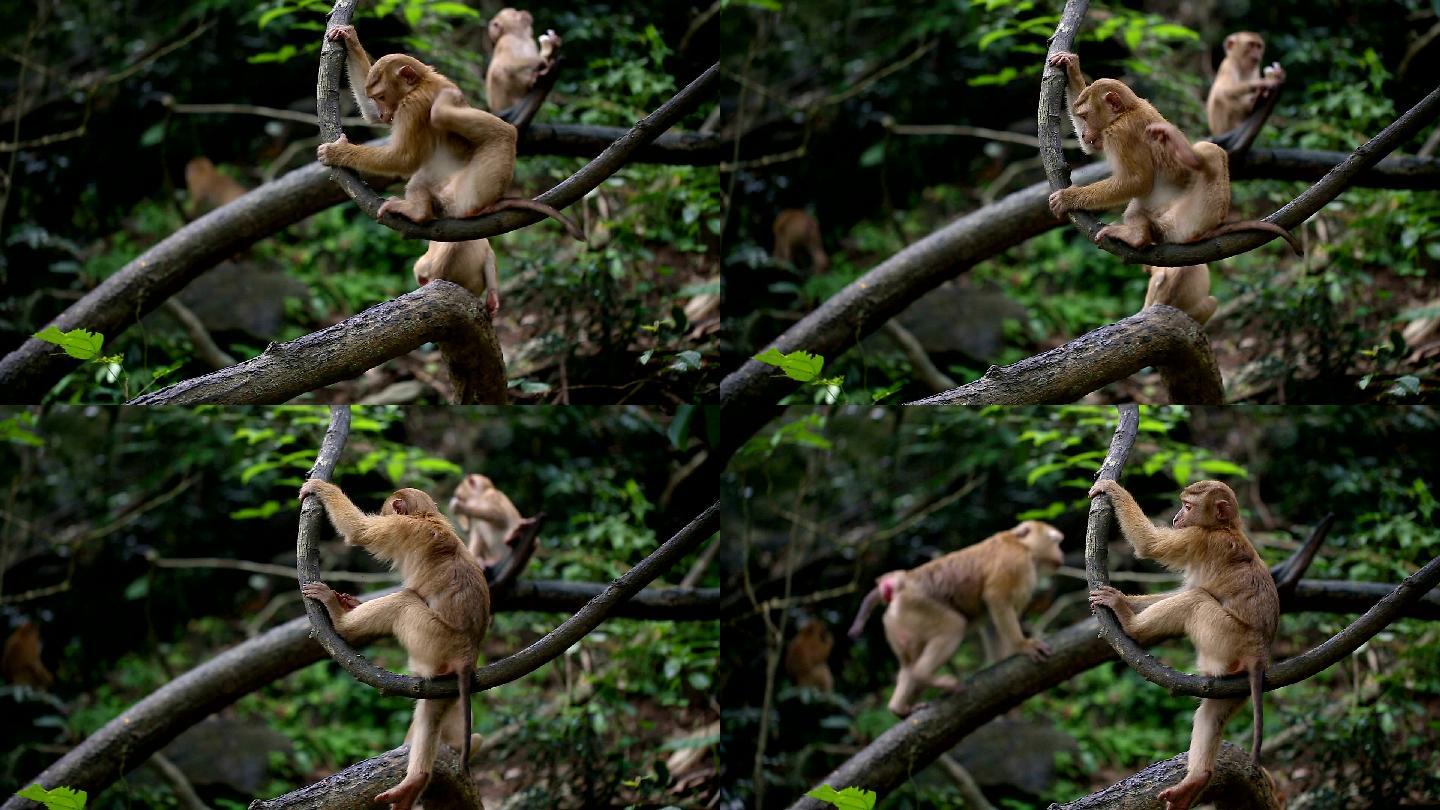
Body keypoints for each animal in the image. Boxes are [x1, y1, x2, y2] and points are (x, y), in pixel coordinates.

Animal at [298, 478, 489, 807]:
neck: (427, 516)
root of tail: (469, 652)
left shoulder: (400, 528)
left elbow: (359, 531)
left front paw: (321, 487)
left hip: (434, 638)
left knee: (404, 602)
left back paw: (341, 621)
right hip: (443, 667)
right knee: (432, 711)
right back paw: (416, 781)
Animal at [840, 515, 1071, 711]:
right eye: (1055, 541)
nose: (1062, 553)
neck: (1023, 547)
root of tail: (900, 589)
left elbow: (990, 618)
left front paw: (1000, 658)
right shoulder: (1016, 563)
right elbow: (996, 598)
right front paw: (1022, 645)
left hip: (896, 624)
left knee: (908, 664)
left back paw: (899, 707)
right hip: (917, 609)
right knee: (952, 626)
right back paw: (923, 675)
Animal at [1042, 51, 1301, 253]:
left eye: (1086, 117)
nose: (1085, 132)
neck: (1127, 110)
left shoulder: (1119, 134)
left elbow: (1137, 181)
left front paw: (1068, 198)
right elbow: (1094, 151)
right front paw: (1072, 68)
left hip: (1187, 221)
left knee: (1210, 153)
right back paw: (1140, 235)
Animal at [1082, 478, 1278, 807]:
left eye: (1187, 506)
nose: (1176, 518)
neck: (1226, 527)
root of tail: (1259, 652)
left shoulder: (1198, 538)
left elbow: (1149, 545)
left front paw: (1112, 488)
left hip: (1227, 637)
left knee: (1195, 600)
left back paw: (1131, 626)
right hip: (1235, 678)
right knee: (1213, 712)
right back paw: (1198, 777)